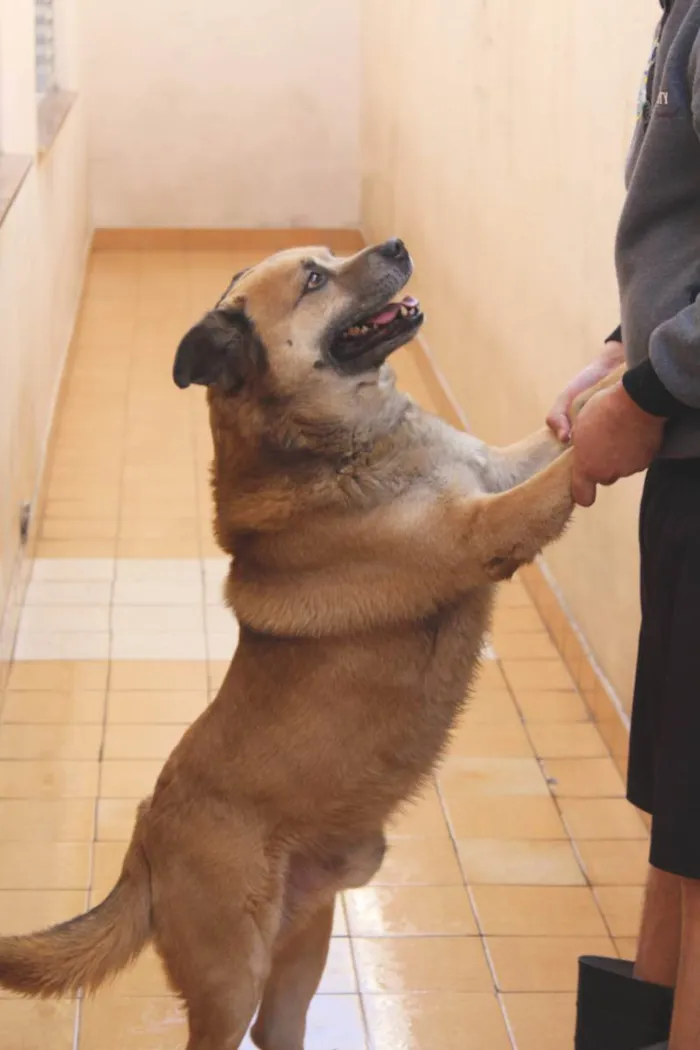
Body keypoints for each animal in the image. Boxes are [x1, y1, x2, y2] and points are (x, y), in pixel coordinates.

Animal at [0, 241, 612, 1045]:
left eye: (329, 255)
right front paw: (634, 413)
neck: (352, 438)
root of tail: (142, 842)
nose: (397, 245)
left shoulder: (495, 470)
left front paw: (616, 369)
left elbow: (561, 428)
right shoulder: (484, 531)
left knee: (278, 1029)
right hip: (231, 982)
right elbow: (568, 471)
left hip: (301, 957)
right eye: (316, 279)